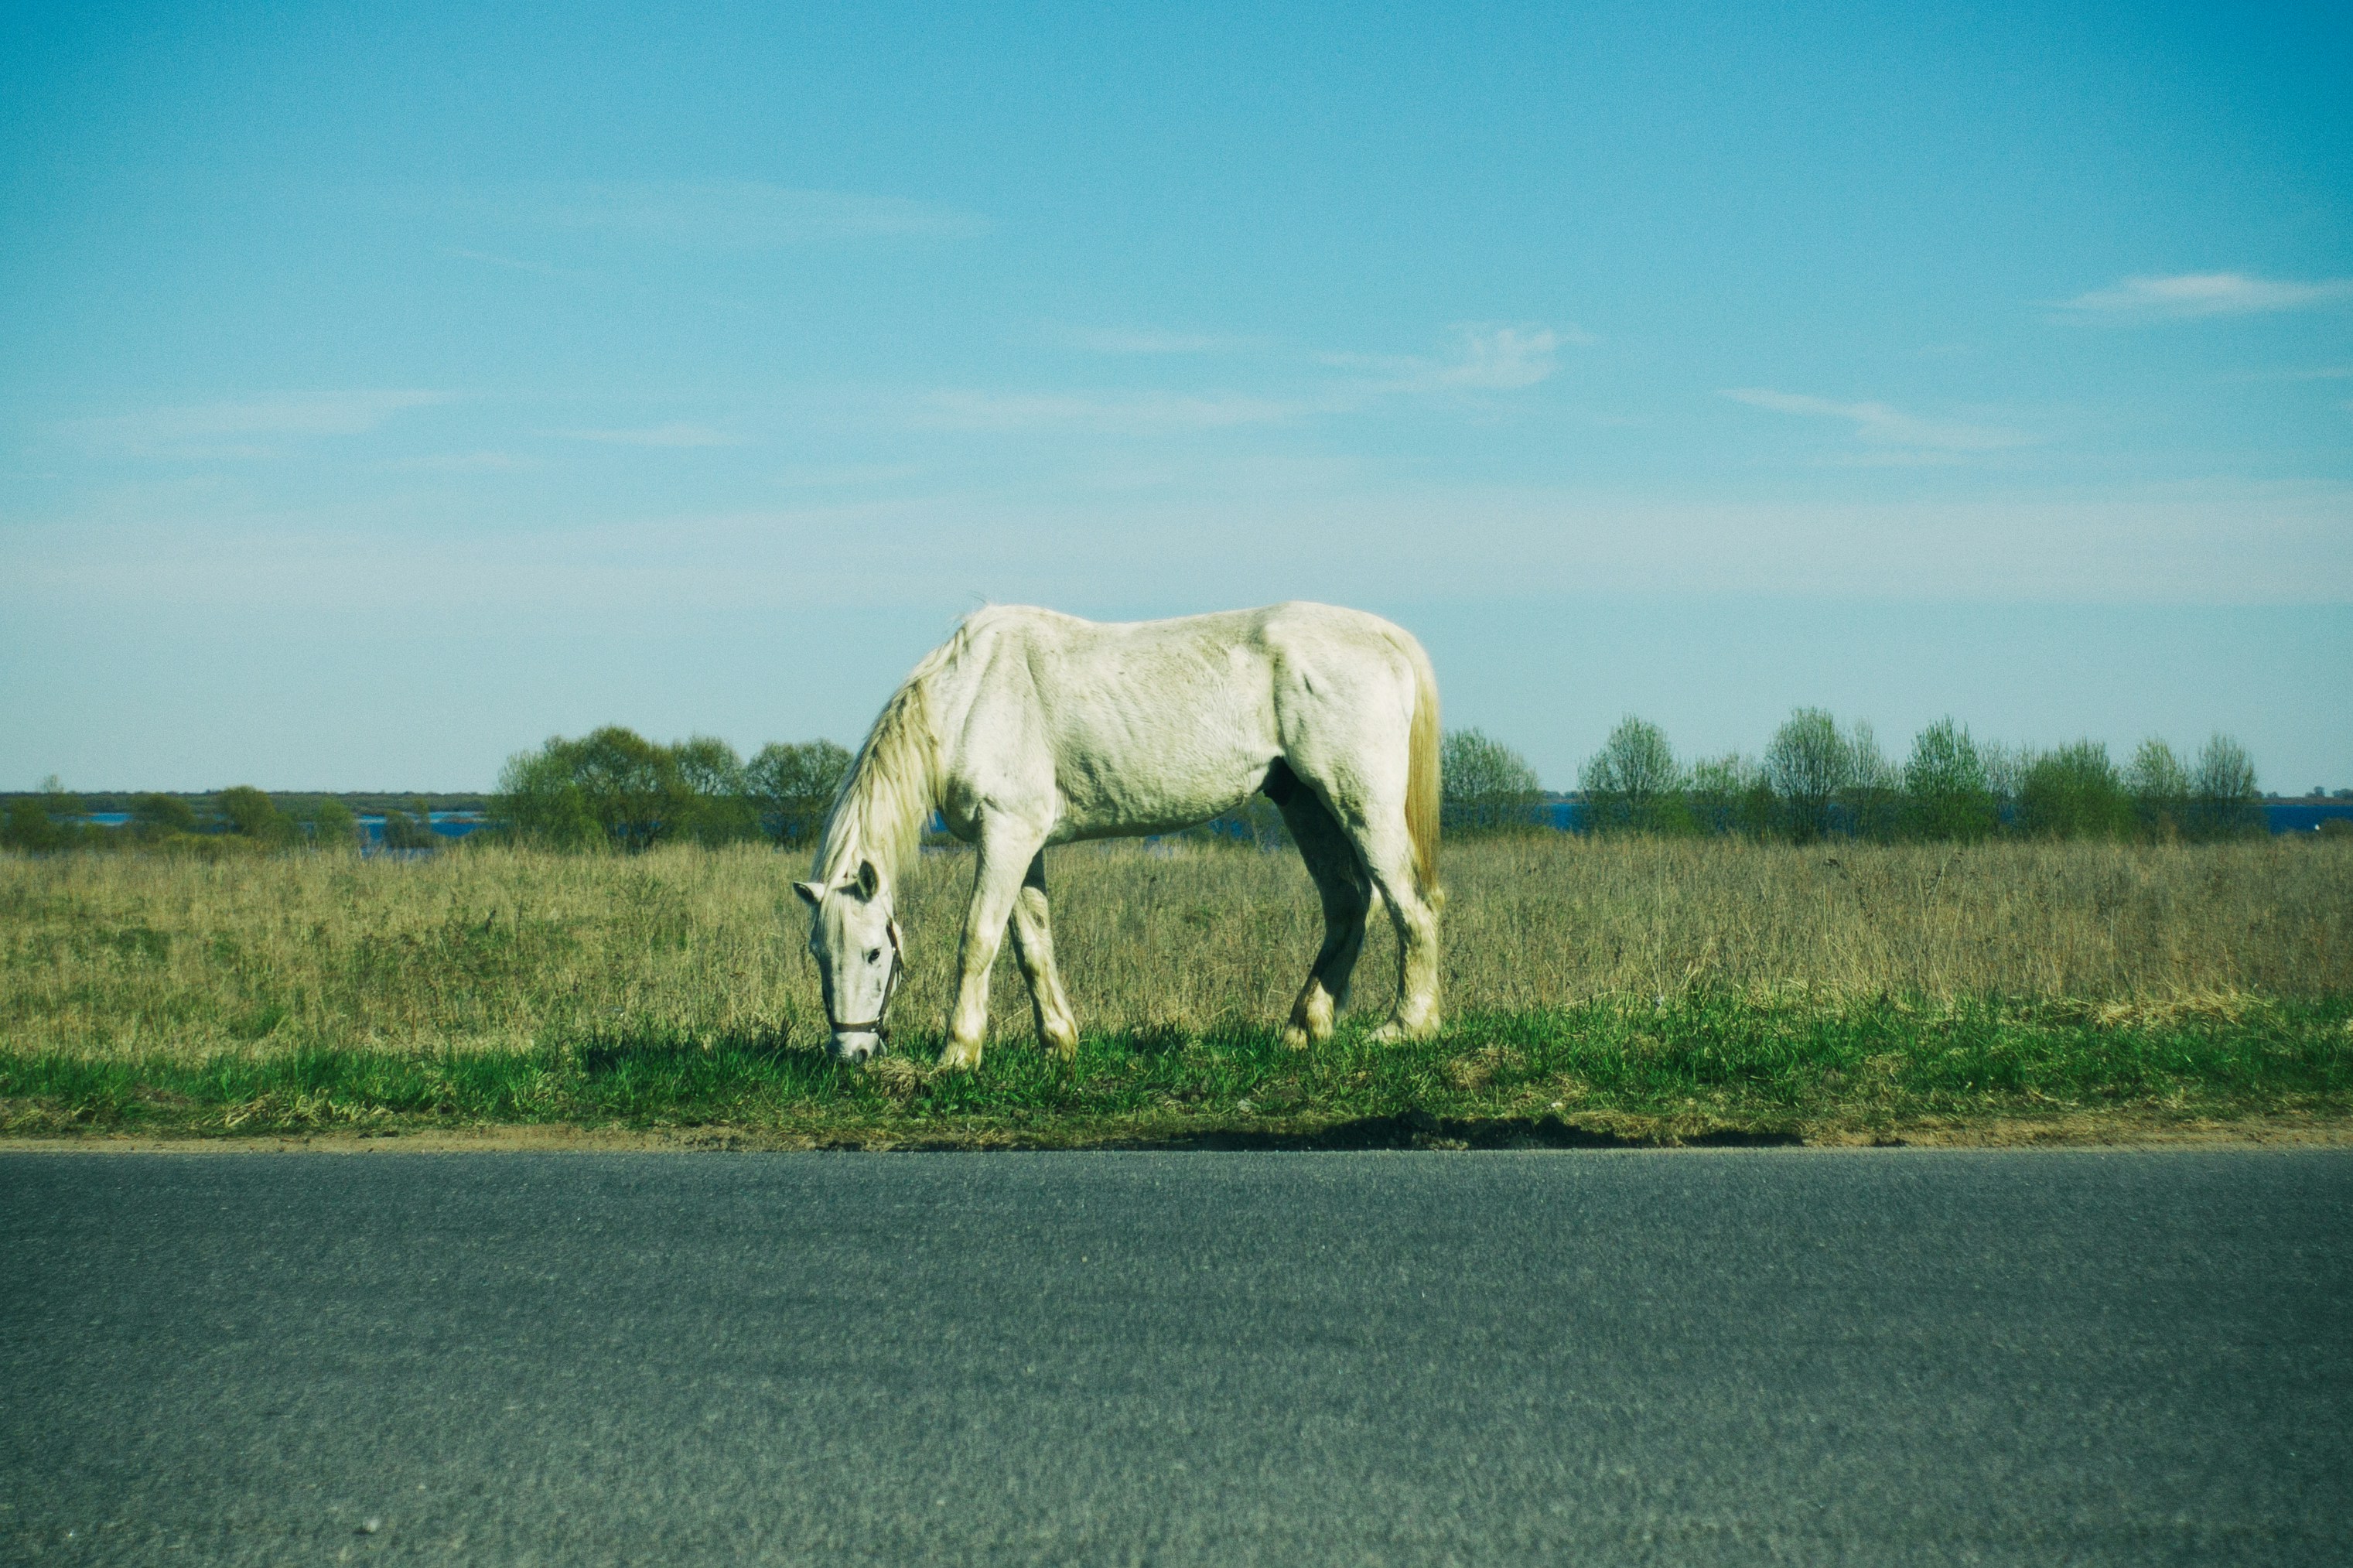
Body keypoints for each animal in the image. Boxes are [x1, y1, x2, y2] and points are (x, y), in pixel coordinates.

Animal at [792, 602, 1443, 1068]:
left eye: (875, 951)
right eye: (819, 953)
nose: (851, 1054)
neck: (970, 697)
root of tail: (1387, 636)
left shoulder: (1005, 833)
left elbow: (978, 939)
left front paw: (958, 1053)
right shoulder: (1021, 842)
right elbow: (1033, 944)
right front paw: (1058, 1040)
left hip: (1362, 804)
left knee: (1411, 907)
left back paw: (1406, 1027)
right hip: (1305, 802)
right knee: (1349, 903)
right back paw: (1305, 1027)